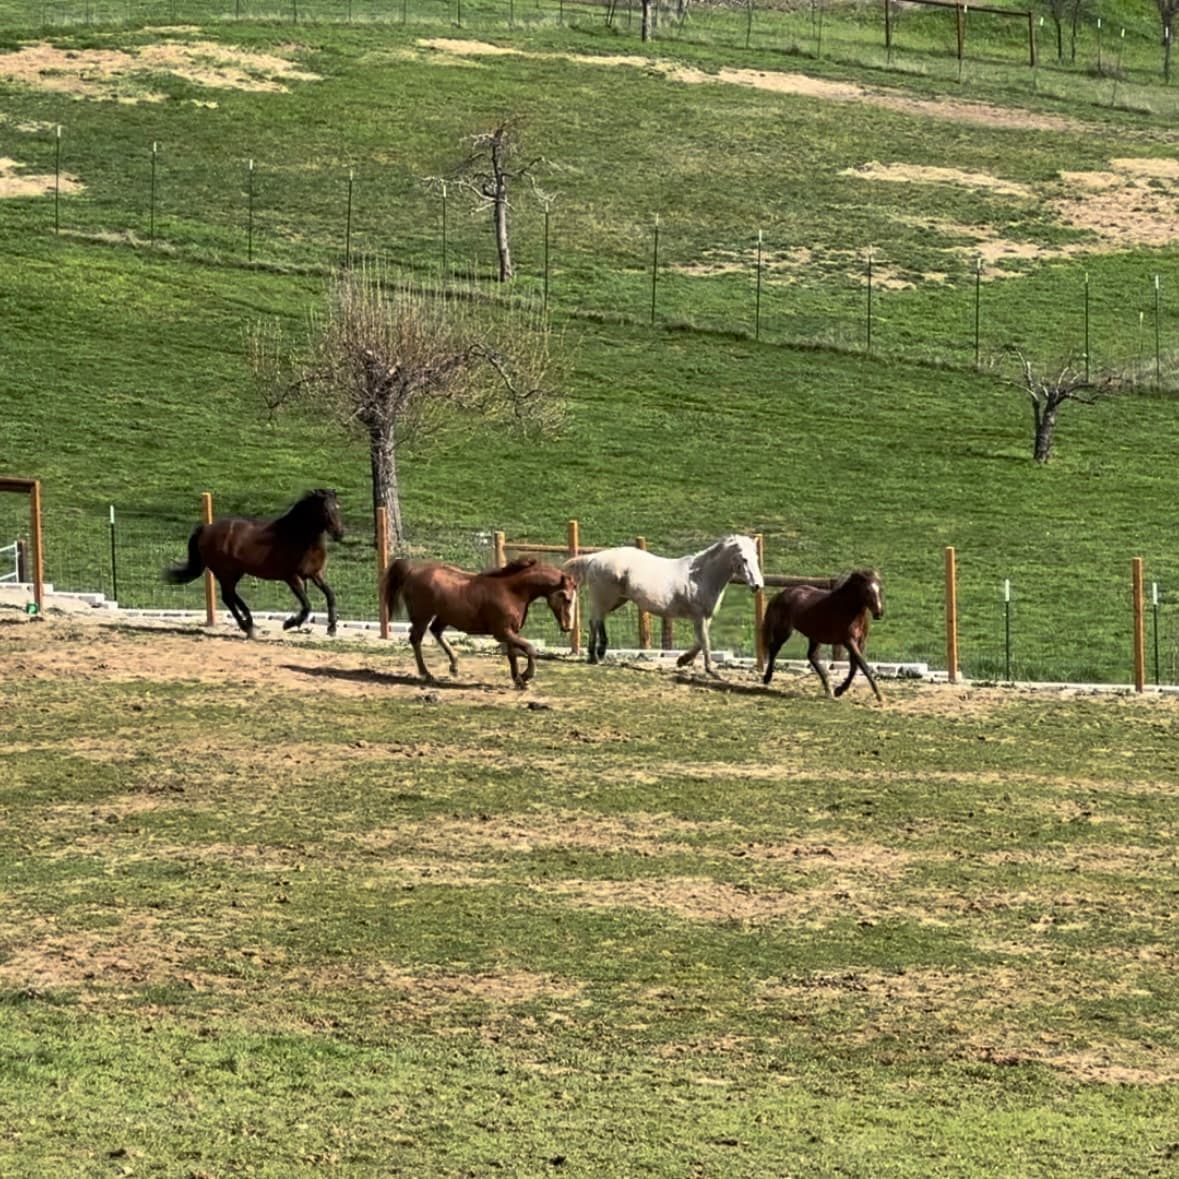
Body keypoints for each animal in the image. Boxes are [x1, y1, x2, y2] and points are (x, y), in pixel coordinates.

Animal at [164, 488, 344, 639]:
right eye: (325, 510)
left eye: (338, 507)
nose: (340, 533)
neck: (298, 537)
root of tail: (205, 529)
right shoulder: (292, 577)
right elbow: (307, 605)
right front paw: (289, 623)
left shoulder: (315, 574)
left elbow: (330, 596)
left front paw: (332, 628)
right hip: (226, 572)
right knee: (228, 597)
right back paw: (248, 627)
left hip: (235, 573)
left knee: (231, 596)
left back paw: (249, 623)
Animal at [381, 556, 576, 688]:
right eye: (567, 599)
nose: (568, 627)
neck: (512, 591)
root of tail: (412, 571)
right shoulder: (502, 632)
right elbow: (530, 648)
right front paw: (527, 676)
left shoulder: (511, 632)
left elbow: (513, 655)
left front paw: (518, 680)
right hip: (422, 616)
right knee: (416, 639)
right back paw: (427, 674)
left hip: (443, 617)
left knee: (436, 631)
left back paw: (454, 666)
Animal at [563, 534, 764, 677]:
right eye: (744, 559)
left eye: (756, 557)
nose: (757, 585)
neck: (700, 576)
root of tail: (595, 558)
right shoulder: (698, 616)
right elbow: (705, 642)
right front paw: (710, 670)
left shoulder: (705, 617)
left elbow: (700, 642)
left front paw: (682, 660)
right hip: (604, 598)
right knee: (595, 621)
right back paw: (594, 656)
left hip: (616, 600)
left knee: (598, 620)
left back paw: (599, 653)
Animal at [761, 568, 884, 702]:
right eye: (867, 590)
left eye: (880, 589)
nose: (879, 613)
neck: (848, 609)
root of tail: (780, 594)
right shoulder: (849, 641)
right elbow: (863, 665)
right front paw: (879, 695)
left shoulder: (861, 642)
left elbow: (855, 666)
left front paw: (839, 690)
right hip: (784, 631)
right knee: (774, 649)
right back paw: (767, 678)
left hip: (814, 636)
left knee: (812, 656)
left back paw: (828, 689)